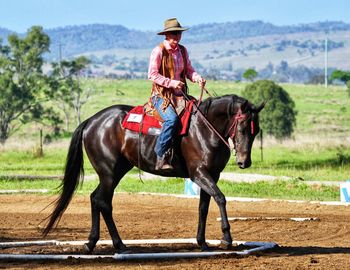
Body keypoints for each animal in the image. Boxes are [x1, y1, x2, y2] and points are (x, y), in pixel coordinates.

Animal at [42, 93, 264, 253]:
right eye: (242, 128)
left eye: (256, 131)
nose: (245, 162)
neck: (204, 128)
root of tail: (91, 121)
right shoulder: (199, 173)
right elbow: (220, 198)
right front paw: (226, 238)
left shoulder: (211, 175)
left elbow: (204, 207)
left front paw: (202, 242)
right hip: (109, 172)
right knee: (102, 201)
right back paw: (112, 244)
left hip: (116, 171)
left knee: (97, 199)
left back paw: (99, 243)